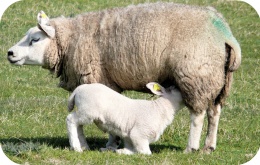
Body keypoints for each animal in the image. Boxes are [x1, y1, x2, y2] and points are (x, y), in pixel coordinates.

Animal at [6, 2, 242, 153]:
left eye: (35, 39)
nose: (9, 53)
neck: (72, 39)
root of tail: (225, 34)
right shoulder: (110, 82)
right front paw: (112, 143)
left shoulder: (99, 78)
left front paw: (110, 144)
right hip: (218, 79)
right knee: (214, 112)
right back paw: (209, 147)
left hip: (195, 75)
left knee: (198, 115)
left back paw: (191, 147)